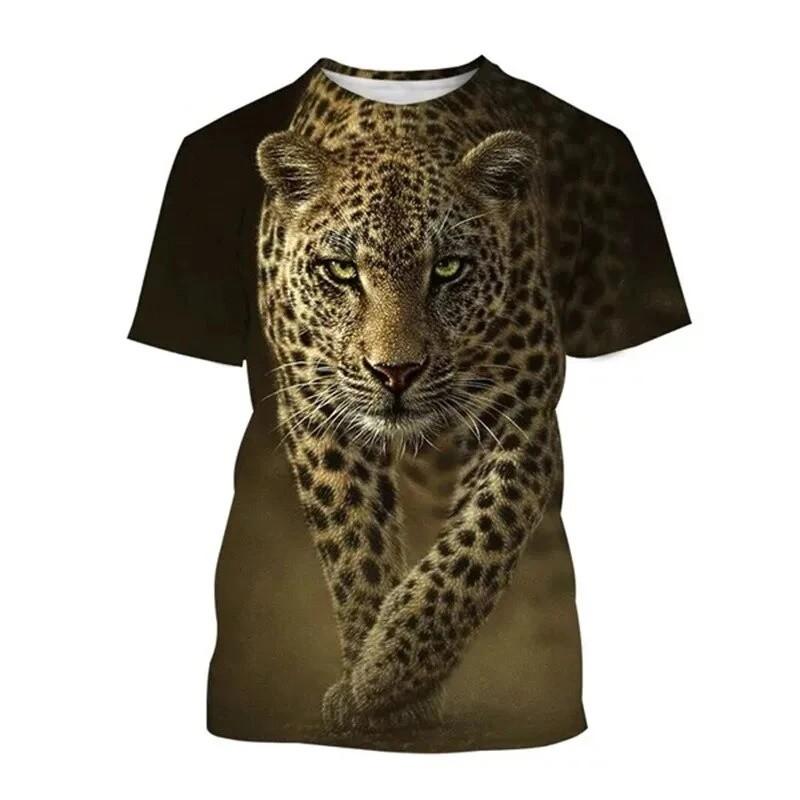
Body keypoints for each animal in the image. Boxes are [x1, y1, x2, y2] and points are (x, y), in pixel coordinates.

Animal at [254, 60, 649, 732]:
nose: (396, 373)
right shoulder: (315, 412)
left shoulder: (522, 415)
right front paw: (374, 684)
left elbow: (477, 549)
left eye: (447, 270)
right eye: (342, 271)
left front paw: (391, 671)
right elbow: (354, 546)